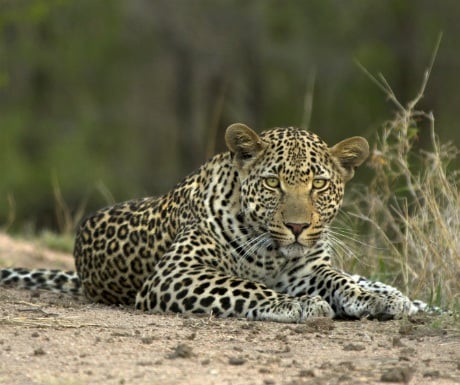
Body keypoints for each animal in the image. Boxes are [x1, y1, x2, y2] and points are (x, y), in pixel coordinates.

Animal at [0, 124, 426, 320]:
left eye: (318, 184)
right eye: (273, 183)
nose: (298, 227)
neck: (272, 254)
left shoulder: (309, 269)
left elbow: (338, 279)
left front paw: (370, 298)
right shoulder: (176, 274)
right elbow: (245, 286)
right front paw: (299, 305)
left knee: (362, 277)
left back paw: (403, 298)